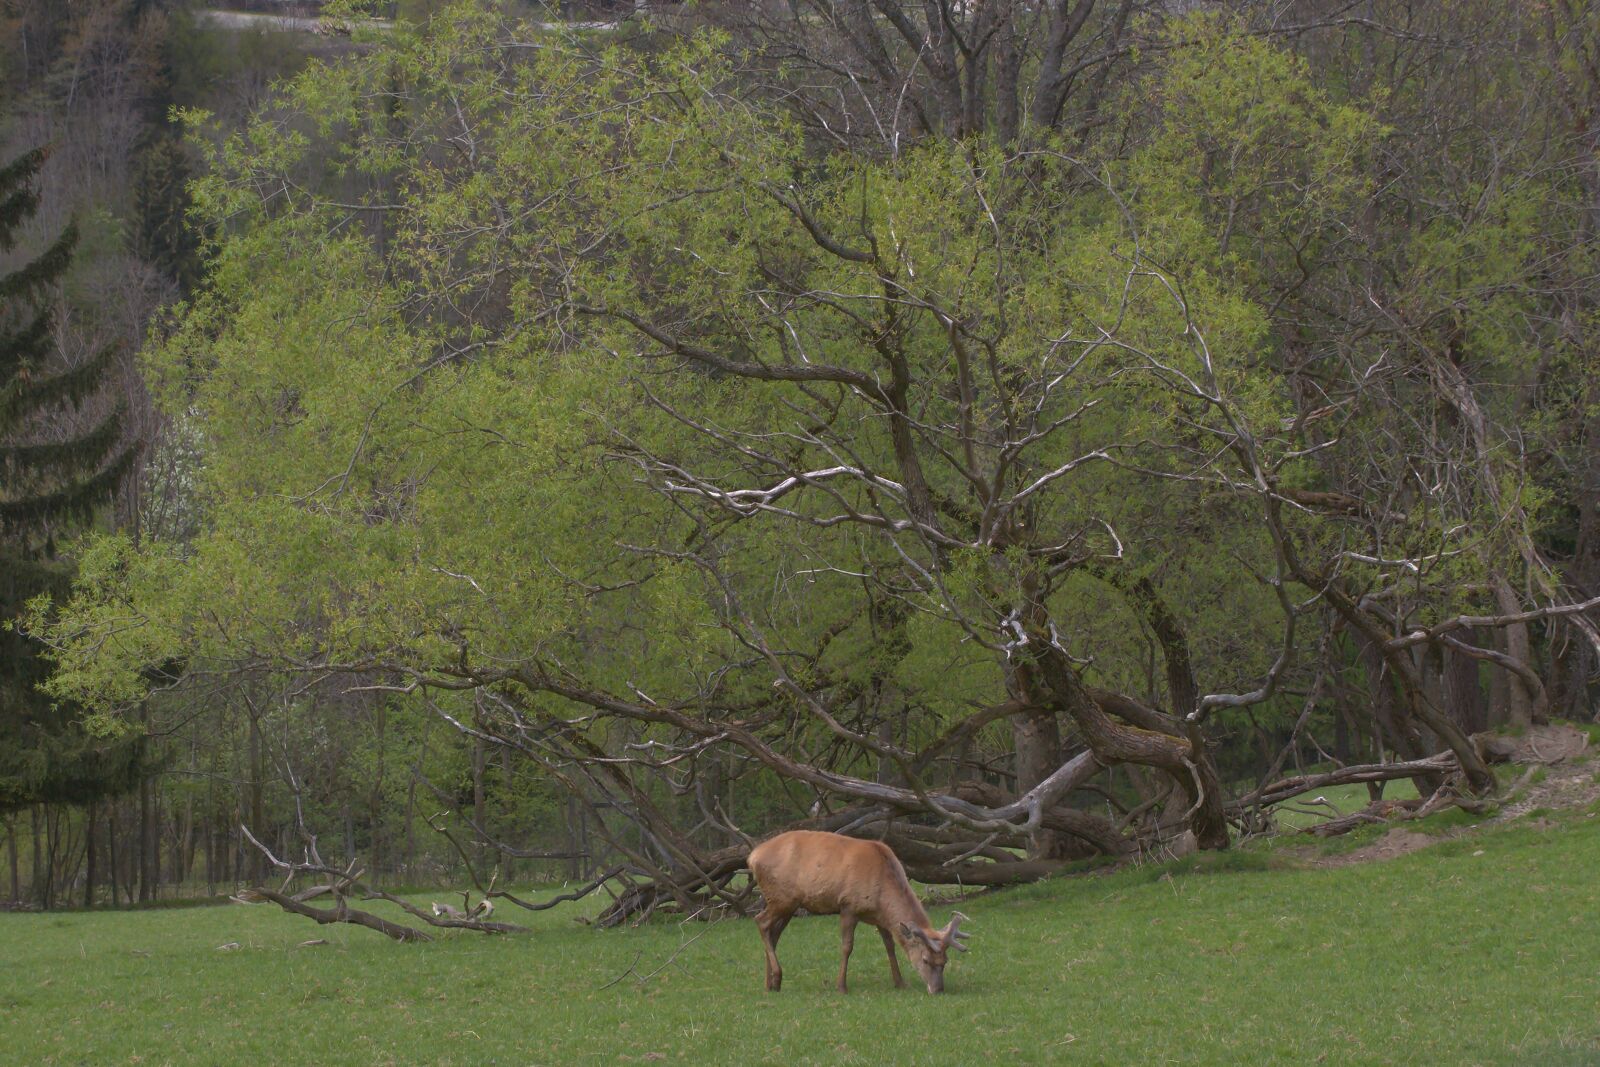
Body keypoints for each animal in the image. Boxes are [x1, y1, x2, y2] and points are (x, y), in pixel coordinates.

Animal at [746, 829, 970, 994]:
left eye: (945, 961)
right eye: (925, 959)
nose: (938, 989)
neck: (882, 895)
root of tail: (752, 857)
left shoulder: (880, 917)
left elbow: (890, 946)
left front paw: (899, 982)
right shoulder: (848, 906)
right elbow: (847, 946)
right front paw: (841, 986)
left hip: (789, 904)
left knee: (773, 933)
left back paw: (770, 984)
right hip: (781, 897)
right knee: (760, 921)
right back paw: (777, 976)